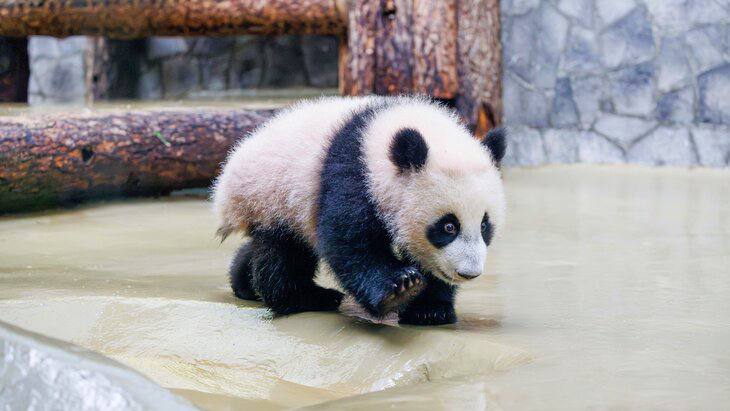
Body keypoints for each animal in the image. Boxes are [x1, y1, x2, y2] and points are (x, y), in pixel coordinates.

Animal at [213, 96, 504, 326]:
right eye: (448, 226)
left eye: (484, 225)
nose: (469, 273)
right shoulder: (351, 171)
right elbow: (349, 242)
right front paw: (400, 288)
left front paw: (430, 310)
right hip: (272, 198)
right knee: (283, 255)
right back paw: (306, 297)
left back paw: (244, 282)